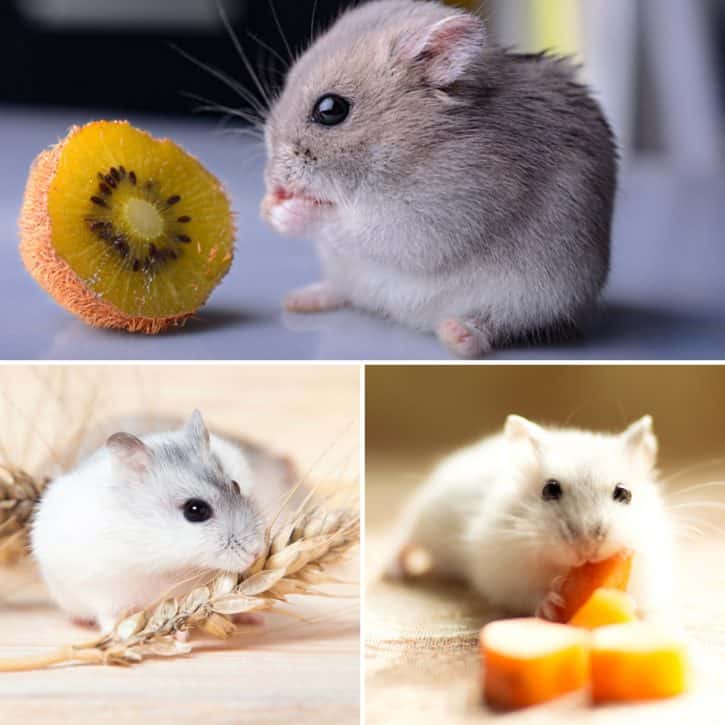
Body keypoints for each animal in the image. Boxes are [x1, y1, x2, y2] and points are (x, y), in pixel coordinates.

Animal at [31, 411, 266, 633]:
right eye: (195, 510)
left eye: (236, 485)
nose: (256, 553)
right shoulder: (105, 592)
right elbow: (110, 618)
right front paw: (116, 635)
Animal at [261, 0, 617, 358]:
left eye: (330, 109)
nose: (272, 179)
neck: (408, 146)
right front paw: (268, 208)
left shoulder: (436, 214)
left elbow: (351, 224)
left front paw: (289, 209)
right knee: (346, 291)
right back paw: (300, 299)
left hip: (536, 299)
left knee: (500, 324)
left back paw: (457, 335)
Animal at [386, 415, 673, 619]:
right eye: (550, 489)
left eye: (624, 493)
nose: (586, 549)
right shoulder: (504, 570)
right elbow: (528, 593)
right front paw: (551, 603)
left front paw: (628, 605)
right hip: (423, 517)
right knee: (404, 537)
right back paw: (395, 571)